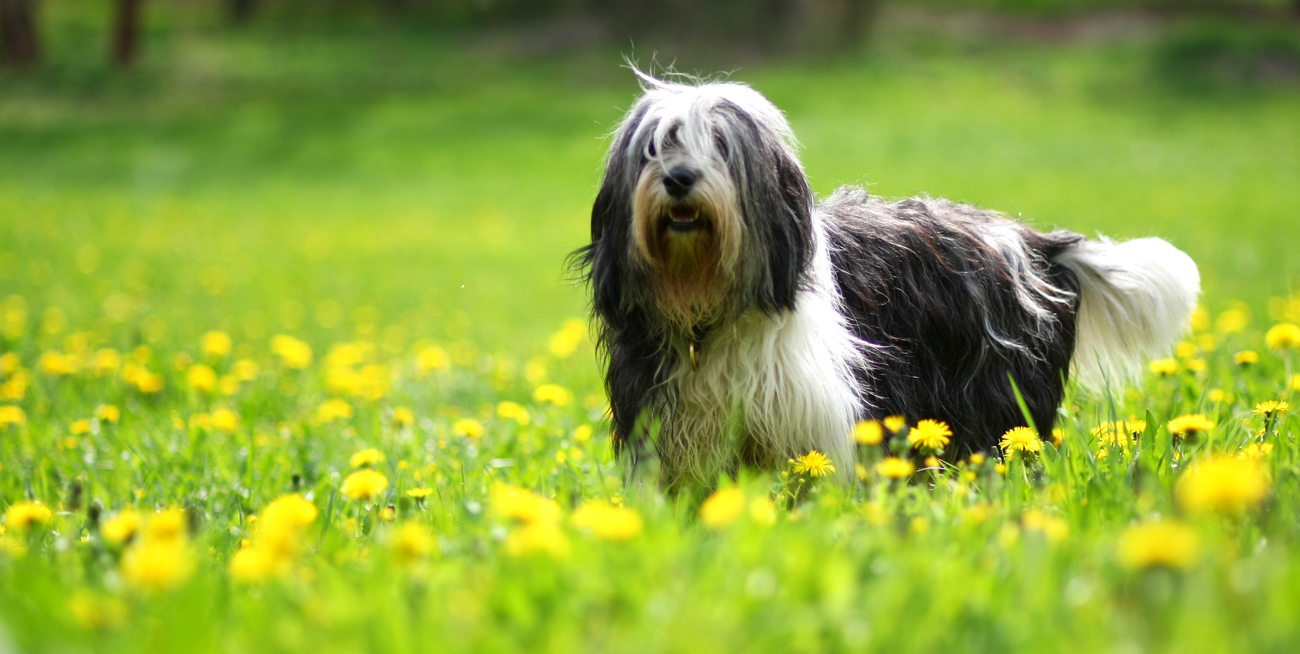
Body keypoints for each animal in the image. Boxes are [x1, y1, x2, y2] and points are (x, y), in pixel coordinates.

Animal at [574, 71, 1201, 491]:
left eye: (723, 148)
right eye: (657, 147)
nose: (679, 178)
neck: (709, 307)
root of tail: (1037, 244)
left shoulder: (812, 414)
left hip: (1000, 400)